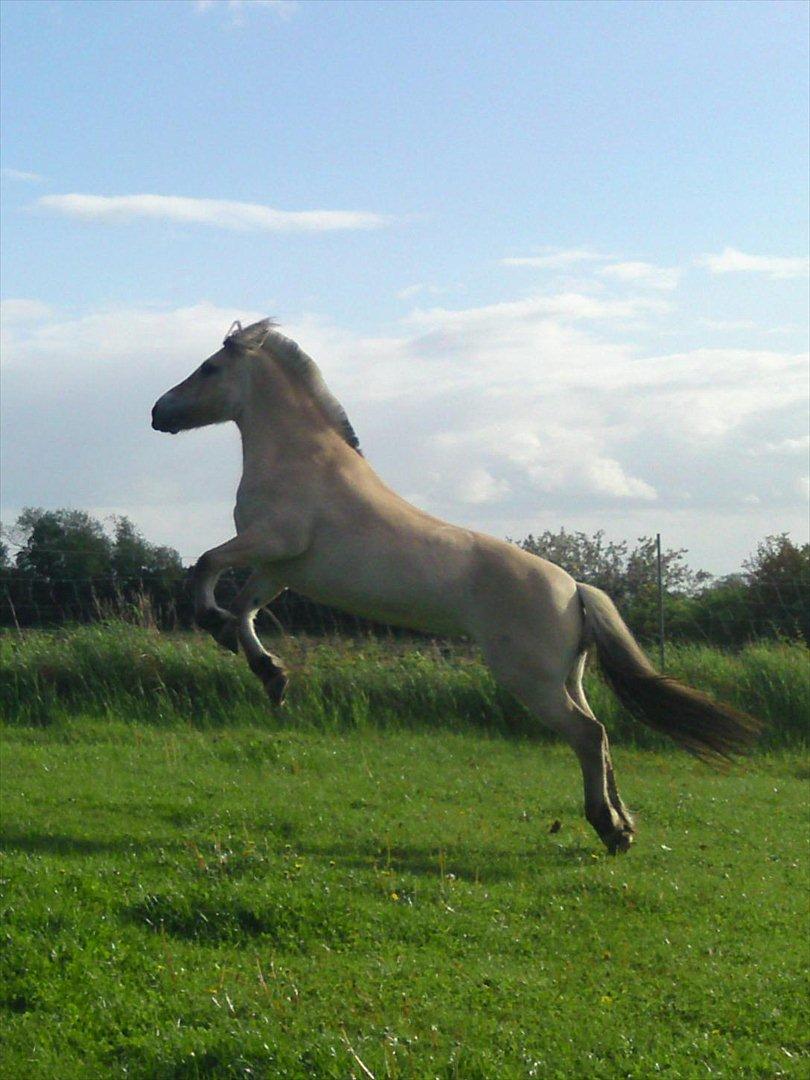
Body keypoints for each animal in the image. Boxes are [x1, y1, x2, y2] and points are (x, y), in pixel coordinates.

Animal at [151, 318, 759, 853]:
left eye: (208, 368)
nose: (158, 412)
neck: (302, 462)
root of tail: (575, 589)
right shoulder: (280, 568)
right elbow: (245, 609)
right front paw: (269, 672)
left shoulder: (271, 542)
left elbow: (206, 567)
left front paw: (217, 629)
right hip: (569, 677)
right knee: (601, 733)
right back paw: (625, 824)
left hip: (530, 680)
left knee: (588, 736)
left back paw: (609, 830)